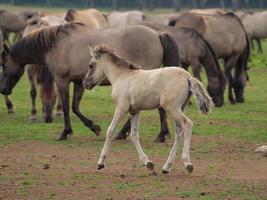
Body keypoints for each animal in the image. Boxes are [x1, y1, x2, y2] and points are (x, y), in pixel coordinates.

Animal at [0, 22, 180, 141]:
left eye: (3, 64)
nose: (3, 89)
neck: (55, 45)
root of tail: (157, 35)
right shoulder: (79, 82)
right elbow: (75, 107)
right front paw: (94, 127)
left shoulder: (62, 81)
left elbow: (66, 107)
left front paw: (65, 132)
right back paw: (146, 133)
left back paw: (154, 134)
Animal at [84, 45, 214, 173]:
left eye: (91, 65)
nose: (86, 84)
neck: (122, 76)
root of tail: (188, 76)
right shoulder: (135, 111)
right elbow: (134, 135)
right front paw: (148, 163)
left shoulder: (121, 107)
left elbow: (110, 130)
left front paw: (100, 163)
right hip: (181, 107)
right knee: (179, 131)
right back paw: (166, 167)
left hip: (172, 108)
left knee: (187, 124)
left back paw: (188, 164)